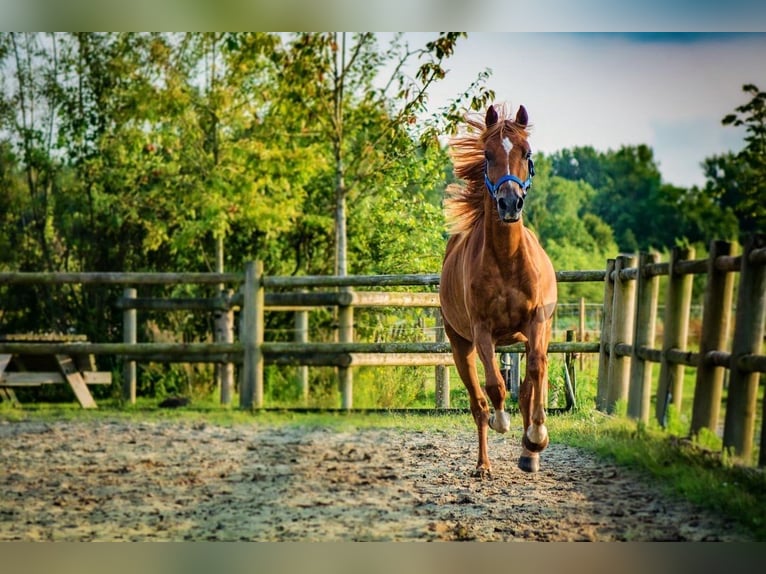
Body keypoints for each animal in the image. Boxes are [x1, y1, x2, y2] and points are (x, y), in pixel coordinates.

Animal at [438, 102, 560, 476]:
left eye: (527, 152)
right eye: (487, 155)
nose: (509, 203)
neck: (507, 259)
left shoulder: (536, 323)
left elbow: (535, 374)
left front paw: (536, 438)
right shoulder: (482, 332)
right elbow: (495, 385)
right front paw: (501, 420)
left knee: (533, 381)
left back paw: (529, 453)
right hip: (460, 345)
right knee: (478, 404)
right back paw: (483, 464)